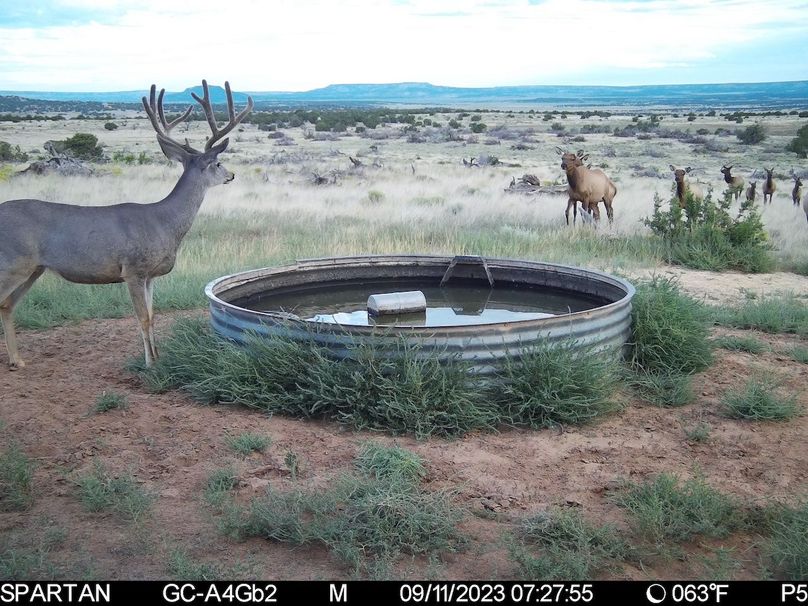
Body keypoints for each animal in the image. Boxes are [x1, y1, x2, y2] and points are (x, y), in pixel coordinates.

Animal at [0, 80, 253, 369]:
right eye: (218, 163)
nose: (232, 175)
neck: (164, 222)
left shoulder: (150, 275)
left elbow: (153, 315)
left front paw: (158, 357)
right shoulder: (133, 269)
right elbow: (142, 317)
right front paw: (150, 364)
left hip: (33, 268)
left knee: (7, 305)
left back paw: (17, 360)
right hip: (11, 263)